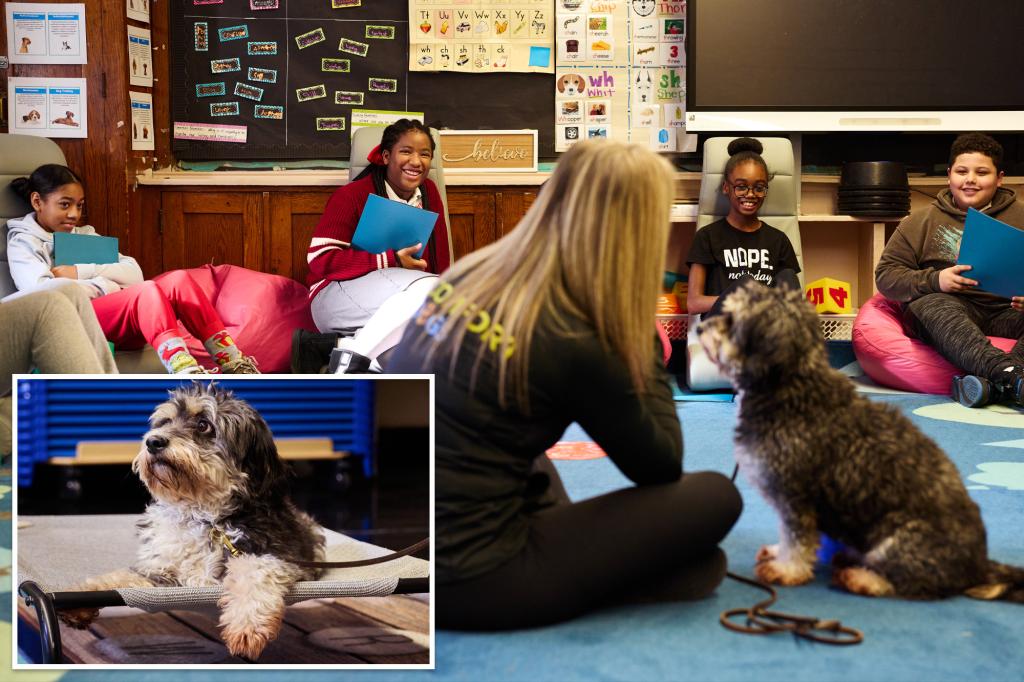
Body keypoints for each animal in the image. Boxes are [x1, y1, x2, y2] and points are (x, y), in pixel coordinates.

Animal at [59, 378, 323, 655]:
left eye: (203, 424)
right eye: (166, 421)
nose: (153, 442)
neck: (204, 517)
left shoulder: (279, 557)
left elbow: (255, 573)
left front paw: (247, 626)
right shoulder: (159, 569)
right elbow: (118, 579)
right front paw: (78, 598)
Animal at [696, 280, 1024, 602]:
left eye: (731, 319)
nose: (699, 330)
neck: (791, 388)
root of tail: (979, 565)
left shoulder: (796, 496)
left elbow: (797, 539)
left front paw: (787, 568)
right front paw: (780, 554)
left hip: (900, 538)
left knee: (910, 584)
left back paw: (862, 578)